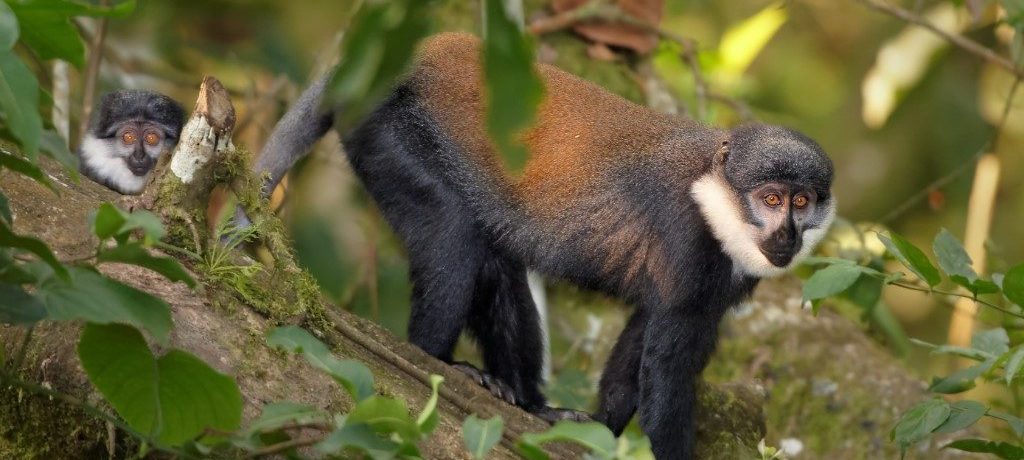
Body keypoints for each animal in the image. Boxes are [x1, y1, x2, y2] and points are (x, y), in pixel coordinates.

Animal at [245, 32, 831, 454]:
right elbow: (666, 375)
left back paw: (529, 402)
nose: (786, 234)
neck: (715, 197)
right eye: (771, 199)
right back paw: (435, 359)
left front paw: (600, 432)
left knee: (494, 259)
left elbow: (639, 343)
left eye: (802, 202)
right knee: (454, 231)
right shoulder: (687, 243)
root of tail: (416, 54)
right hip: (389, 134)